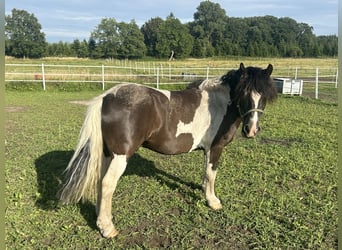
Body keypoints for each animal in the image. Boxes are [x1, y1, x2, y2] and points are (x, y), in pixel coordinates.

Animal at [58, 62, 278, 238]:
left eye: (264, 96)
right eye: (244, 93)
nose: (251, 130)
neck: (220, 103)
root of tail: (107, 97)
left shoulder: (207, 150)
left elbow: (206, 174)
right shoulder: (215, 148)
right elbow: (211, 174)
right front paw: (212, 201)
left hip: (108, 154)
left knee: (100, 181)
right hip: (120, 156)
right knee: (107, 184)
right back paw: (107, 228)